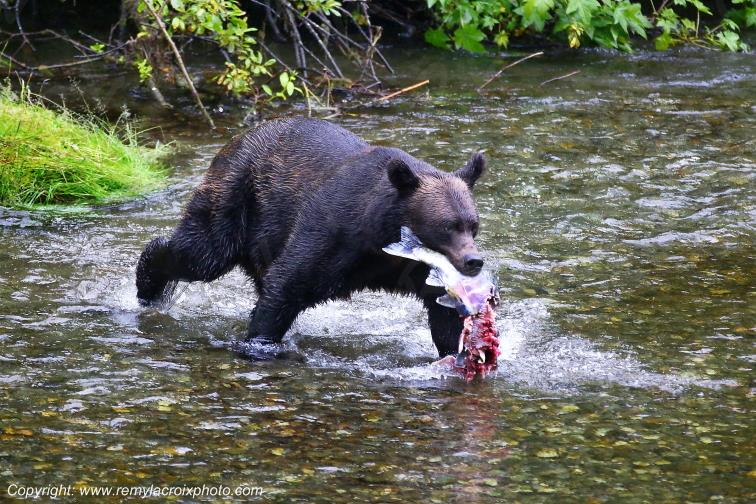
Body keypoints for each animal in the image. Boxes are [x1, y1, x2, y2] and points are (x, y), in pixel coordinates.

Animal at [136, 118, 486, 358]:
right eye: (447, 225)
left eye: (473, 225)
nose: (474, 261)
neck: (383, 236)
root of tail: (237, 137)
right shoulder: (334, 232)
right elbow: (288, 282)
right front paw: (259, 343)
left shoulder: (416, 269)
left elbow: (444, 313)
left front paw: (458, 353)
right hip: (237, 196)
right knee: (203, 253)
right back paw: (148, 285)